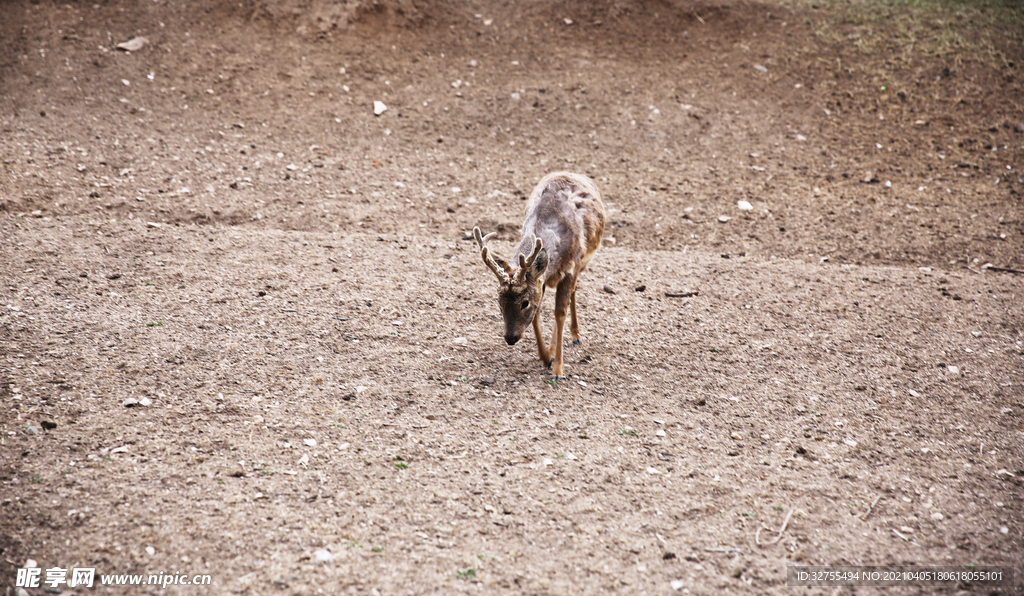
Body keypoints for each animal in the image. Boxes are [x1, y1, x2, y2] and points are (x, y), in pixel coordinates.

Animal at [473, 171, 606, 380]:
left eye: (524, 303)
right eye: (498, 301)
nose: (510, 338)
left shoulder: (572, 267)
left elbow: (560, 313)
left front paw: (558, 370)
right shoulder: (539, 280)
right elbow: (537, 314)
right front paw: (545, 357)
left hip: (583, 262)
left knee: (573, 293)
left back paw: (576, 336)